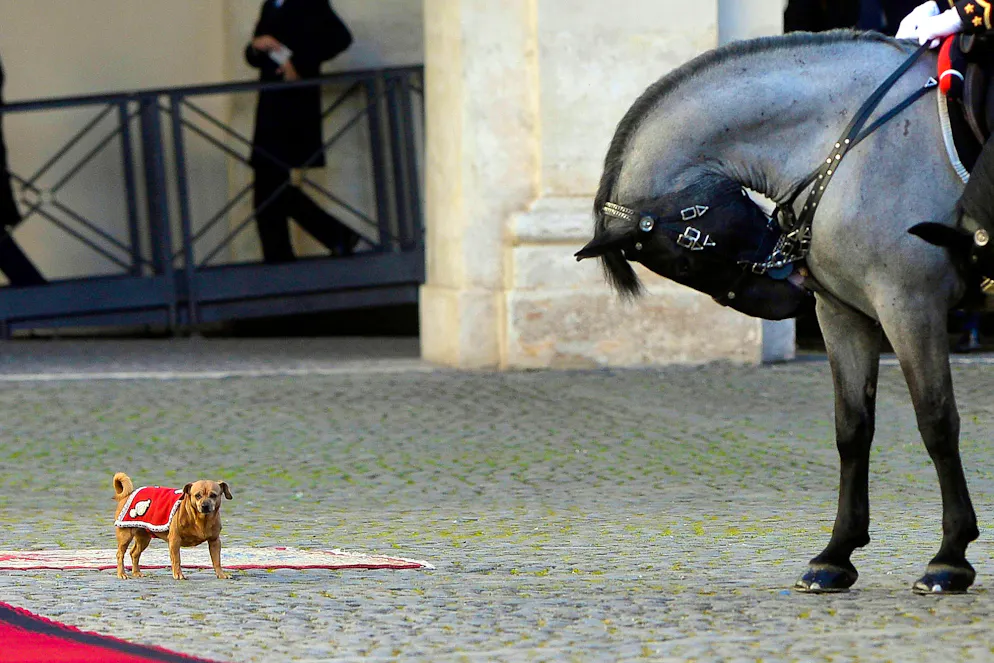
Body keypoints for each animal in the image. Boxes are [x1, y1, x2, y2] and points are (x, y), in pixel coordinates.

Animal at [577, 30, 981, 594]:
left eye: (687, 255)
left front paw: (951, 556)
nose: (781, 301)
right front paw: (836, 553)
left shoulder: (910, 304)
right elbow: (852, 428)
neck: (847, 143)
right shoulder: (843, 314)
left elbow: (936, 421)